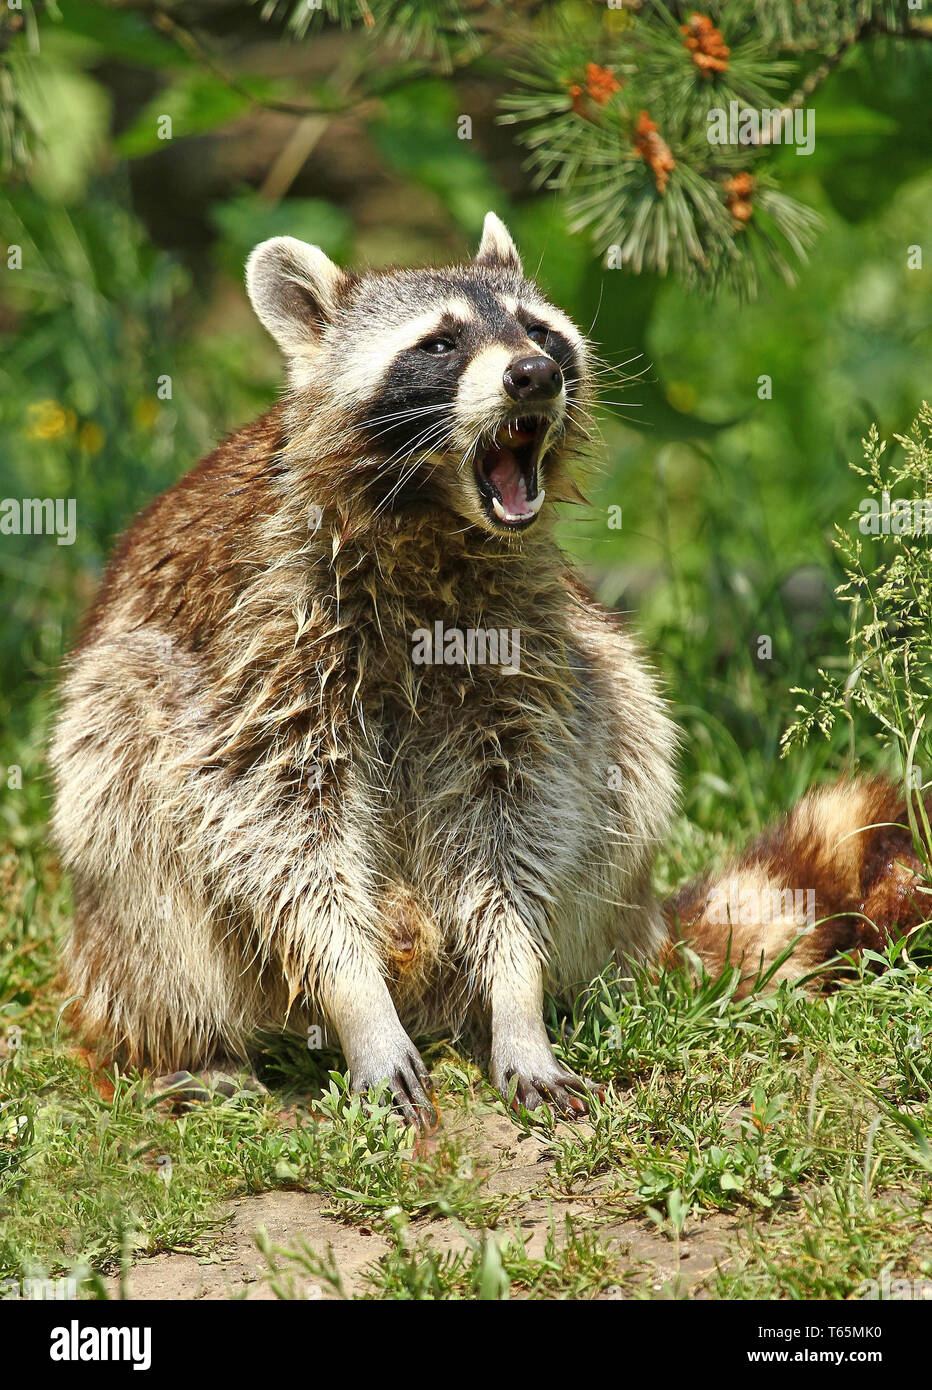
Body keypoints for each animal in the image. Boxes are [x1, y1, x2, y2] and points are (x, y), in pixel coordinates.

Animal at [52, 216, 932, 1128]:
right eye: (439, 344)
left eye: (538, 330)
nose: (535, 374)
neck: (436, 522)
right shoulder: (270, 644)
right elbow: (283, 832)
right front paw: (356, 996)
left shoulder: (523, 642)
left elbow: (516, 817)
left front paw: (516, 989)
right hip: (121, 773)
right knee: (128, 806)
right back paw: (189, 1044)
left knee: (628, 720)